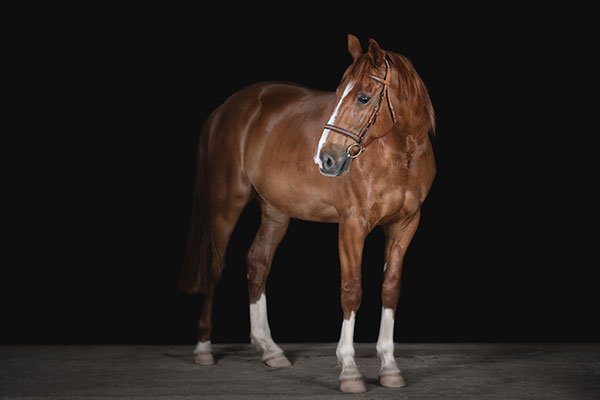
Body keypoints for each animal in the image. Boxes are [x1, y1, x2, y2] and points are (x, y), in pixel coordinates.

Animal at [179, 35, 436, 394]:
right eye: (339, 91)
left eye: (363, 97)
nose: (325, 158)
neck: (400, 156)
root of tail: (226, 109)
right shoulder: (352, 225)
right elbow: (351, 291)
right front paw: (349, 370)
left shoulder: (405, 225)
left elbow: (390, 289)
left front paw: (389, 366)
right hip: (227, 202)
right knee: (215, 266)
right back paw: (203, 348)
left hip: (276, 211)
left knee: (257, 262)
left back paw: (269, 349)